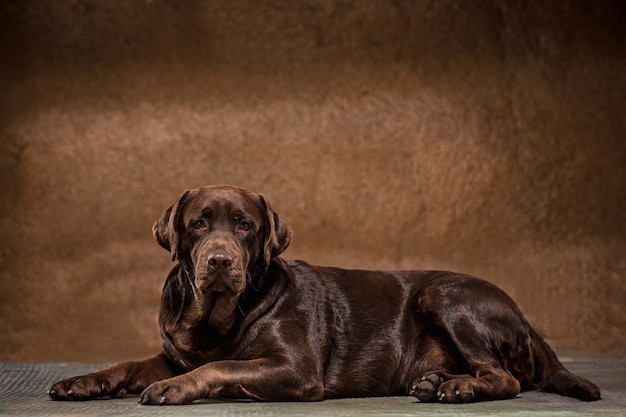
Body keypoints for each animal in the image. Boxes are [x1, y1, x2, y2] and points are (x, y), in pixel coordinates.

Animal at [46, 184, 596, 404]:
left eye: (244, 226)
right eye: (198, 224)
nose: (220, 261)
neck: (218, 316)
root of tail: (524, 317)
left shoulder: (295, 368)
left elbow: (221, 365)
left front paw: (176, 388)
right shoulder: (173, 351)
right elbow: (129, 364)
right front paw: (82, 382)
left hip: (444, 294)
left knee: (505, 377)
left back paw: (458, 388)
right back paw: (436, 381)